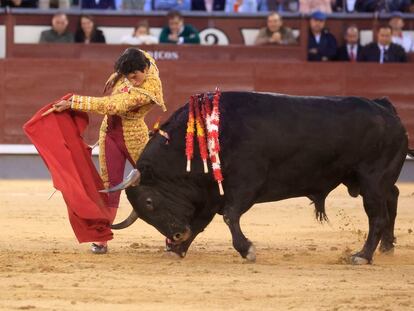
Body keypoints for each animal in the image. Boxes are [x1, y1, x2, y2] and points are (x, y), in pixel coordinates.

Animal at [109, 91, 408, 264]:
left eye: (149, 202)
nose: (176, 235)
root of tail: (385, 109)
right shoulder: (210, 194)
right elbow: (201, 221)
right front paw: (179, 249)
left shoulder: (244, 185)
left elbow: (230, 216)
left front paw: (246, 249)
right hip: (369, 180)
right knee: (392, 198)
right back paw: (386, 247)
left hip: (371, 179)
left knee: (377, 215)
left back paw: (363, 255)